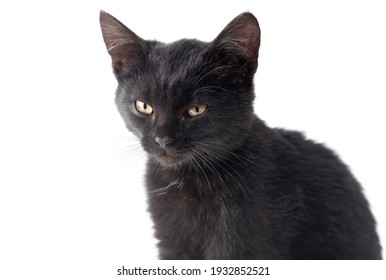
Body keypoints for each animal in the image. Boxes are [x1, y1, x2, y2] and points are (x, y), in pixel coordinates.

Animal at [99, 11, 380, 260]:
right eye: (143, 106)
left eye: (196, 109)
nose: (163, 140)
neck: (190, 180)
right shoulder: (171, 241)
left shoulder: (243, 245)